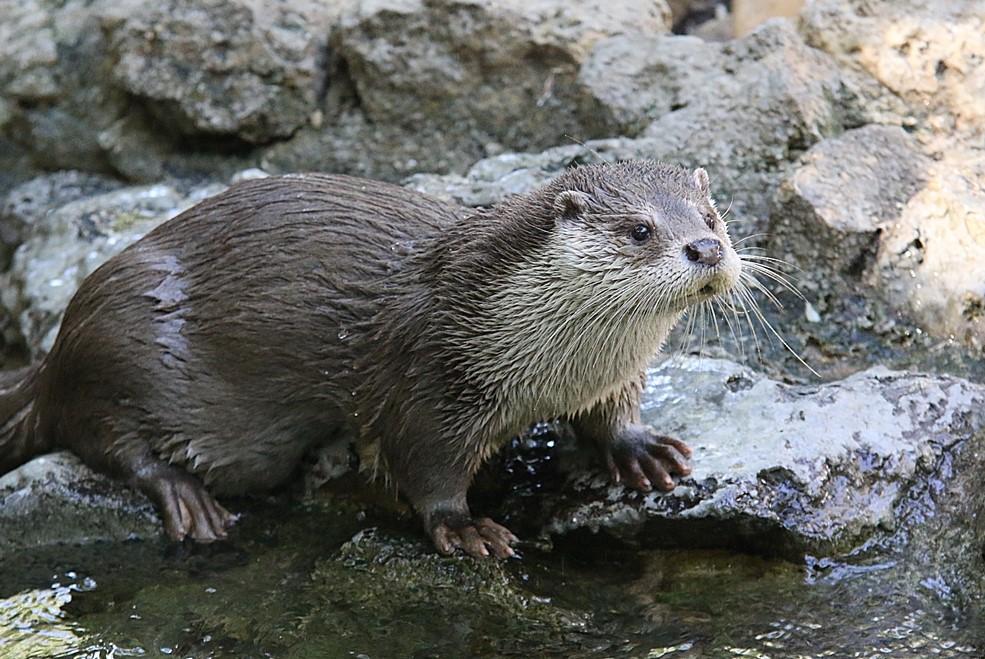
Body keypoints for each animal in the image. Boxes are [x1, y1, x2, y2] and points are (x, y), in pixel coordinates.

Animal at [0, 160, 736, 556]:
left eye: (710, 216)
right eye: (638, 229)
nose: (705, 249)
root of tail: (57, 345)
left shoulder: (608, 376)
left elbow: (613, 414)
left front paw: (640, 449)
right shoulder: (432, 380)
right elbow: (426, 469)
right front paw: (466, 528)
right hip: (118, 346)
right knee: (101, 438)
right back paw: (188, 500)